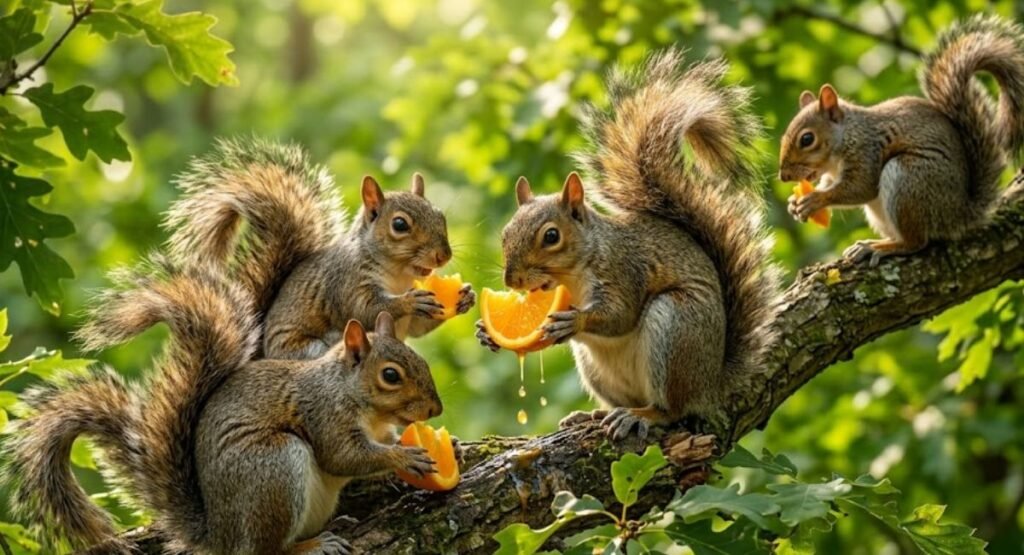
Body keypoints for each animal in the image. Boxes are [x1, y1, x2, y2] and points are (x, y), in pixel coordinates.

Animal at [2, 256, 441, 554]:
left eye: (420, 361)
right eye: (390, 375)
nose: (435, 410)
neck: (356, 398)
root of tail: (219, 535)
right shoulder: (324, 414)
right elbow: (344, 457)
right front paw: (404, 458)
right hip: (273, 468)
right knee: (266, 551)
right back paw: (311, 546)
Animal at [163, 137, 475, 359]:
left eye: (440, 216)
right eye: (399, 224)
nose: (443, 255)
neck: (398, 276)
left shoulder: (409, 321)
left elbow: (419, 329)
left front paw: (465, 298)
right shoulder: (345, 283)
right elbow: (364, 309)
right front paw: (408, 301)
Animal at [476, 50, 780, 440]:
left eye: (551, 236)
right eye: (505, 233)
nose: (511, 281)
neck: (573, 275)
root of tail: (711, 384)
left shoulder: (625, 270)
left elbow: (620, 316)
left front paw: (575, 321)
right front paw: (486, 333)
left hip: (675, 327)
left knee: (672, 409)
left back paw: (643, 416)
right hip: (598, 371)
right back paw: (592, 415)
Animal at [780, 15, 1024, 266]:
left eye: (807, 139)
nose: (784, 176)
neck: (846, 137)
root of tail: (958, 214)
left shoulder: (867, 152)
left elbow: (860, 188)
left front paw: (815, 199)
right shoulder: (833, 173)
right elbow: (831, 184)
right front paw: (794, 203)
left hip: (909, 180)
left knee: (916, 242)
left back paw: (879, 248)